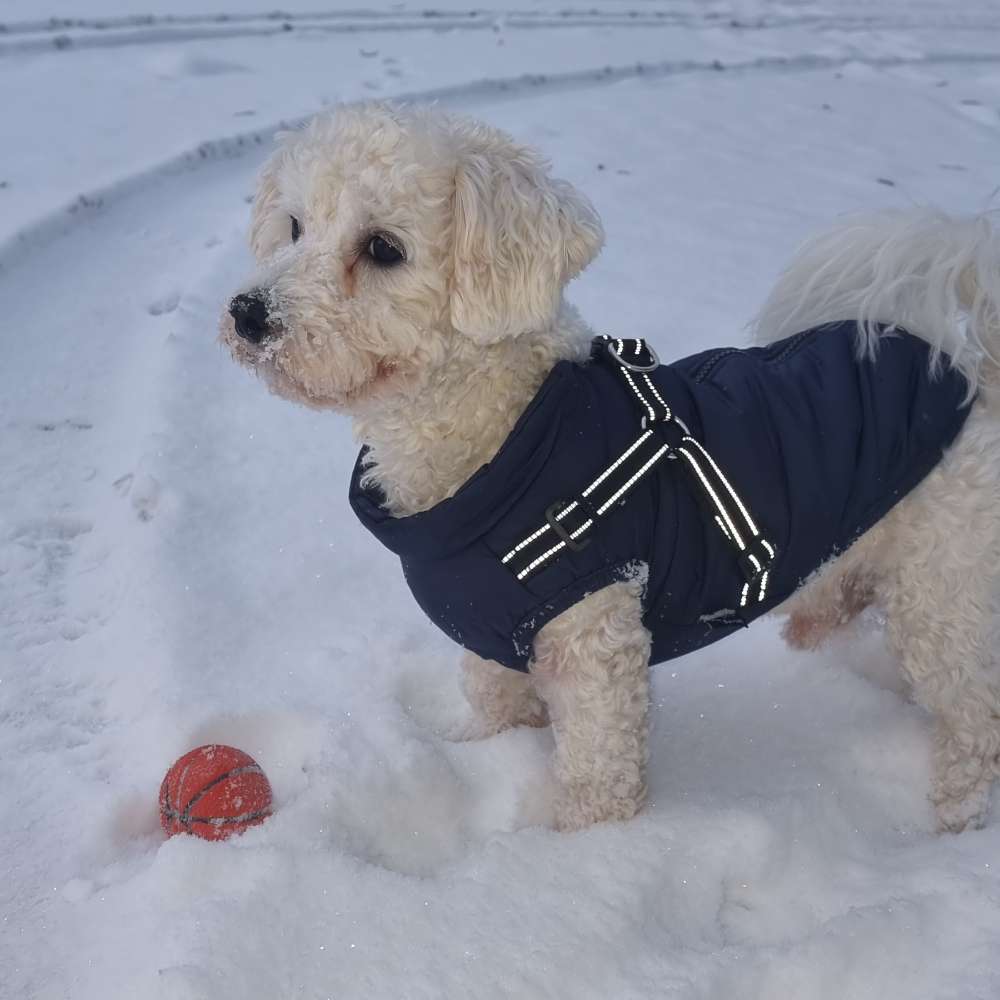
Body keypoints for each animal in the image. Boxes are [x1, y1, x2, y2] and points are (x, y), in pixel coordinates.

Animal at [223, 103, 1000, 836]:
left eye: (384, 248)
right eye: (294, 227)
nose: (248, 313)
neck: (503, 443)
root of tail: (972, 376)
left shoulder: (594, 642)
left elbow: (598, 777)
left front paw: (581, 856)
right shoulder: (493, 639)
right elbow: (496, 706)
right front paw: (489, 759)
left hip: (946, 596)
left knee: (976, 717)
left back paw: (957, 817)